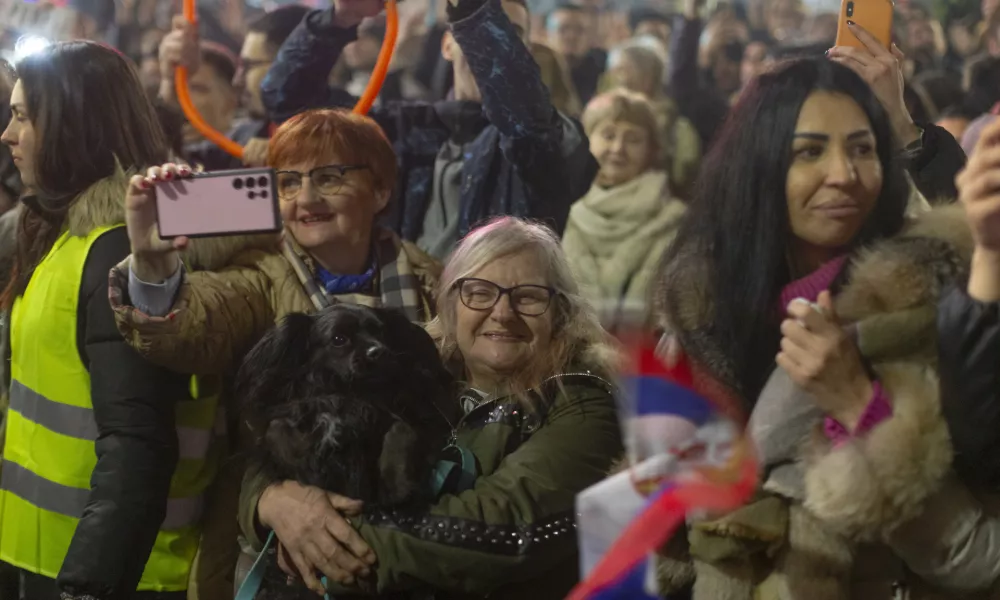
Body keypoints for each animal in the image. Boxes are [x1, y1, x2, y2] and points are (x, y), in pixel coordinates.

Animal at [238, 308, 460, 596]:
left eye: (380, 332)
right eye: (339, 339)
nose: (379, 351)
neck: (352, 392)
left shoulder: (397, 416)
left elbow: (402, 429)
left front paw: (397, 485)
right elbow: (278, 431)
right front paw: (312, 457)